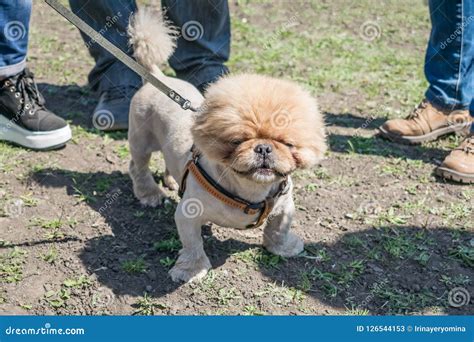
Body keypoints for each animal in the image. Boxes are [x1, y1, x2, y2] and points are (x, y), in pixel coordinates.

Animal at [127, 8, 326, 284]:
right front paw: (191, 270)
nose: (263, 148)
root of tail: (157, 77)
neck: (250, 192)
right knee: (138, 167)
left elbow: (278, 228)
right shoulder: (187, 215)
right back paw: (150, 194)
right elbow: (193, 245)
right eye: (237, 141)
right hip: (141, 142)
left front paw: (282, 248)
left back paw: (172, 181)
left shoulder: (285, 206)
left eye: (288, 144)